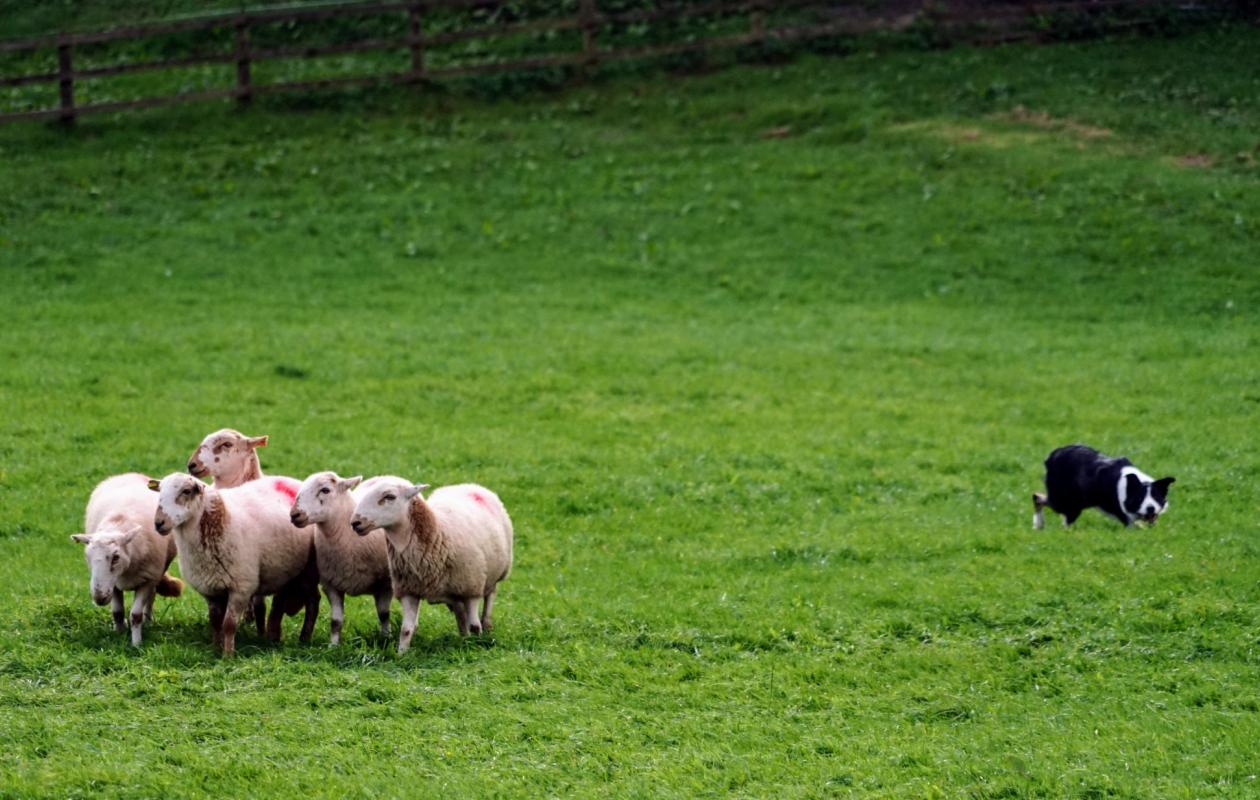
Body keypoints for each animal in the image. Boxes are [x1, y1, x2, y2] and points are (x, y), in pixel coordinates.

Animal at [71, 473, 183, 646]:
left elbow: (135, 615)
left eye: (115, 557)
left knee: (151, 598)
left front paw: (136, 644)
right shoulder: (114, 584)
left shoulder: (148, 579)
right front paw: (119, 634)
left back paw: (148, 622)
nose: (99, 598)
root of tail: (131, 474)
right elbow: (117, 612)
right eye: (87, 556)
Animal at [150, 472, 319, 656]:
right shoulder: (210, 588)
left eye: (186, 491)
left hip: (308, 571)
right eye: (159, 491)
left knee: (313, 601)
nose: (159, 523)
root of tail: (289, 480)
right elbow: (215, 622)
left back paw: (304, 638)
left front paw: (228, 655)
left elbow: (229, 624)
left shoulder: (241, 587)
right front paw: (216, 648)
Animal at [290, 472, 392, 645]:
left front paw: (386, 641)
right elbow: (335, 621)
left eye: (325, 490)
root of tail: (384, 476)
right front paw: (333, 645)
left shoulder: (385, 584)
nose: (294, 514)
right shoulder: (331, 585)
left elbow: (384, 615)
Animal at [349, 477, 512, 653]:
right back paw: (464, 637)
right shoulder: (409, 591)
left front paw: (476, 647)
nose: (355, 522)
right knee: (460, 613)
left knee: (489, 597)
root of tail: (468, 485)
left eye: (389, 496)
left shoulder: (471, 588)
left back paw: (485, 626)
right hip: (454, 590)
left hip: (493, 575)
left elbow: (475, 626)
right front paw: (401, 654)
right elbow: (406, 629)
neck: (437, 533)